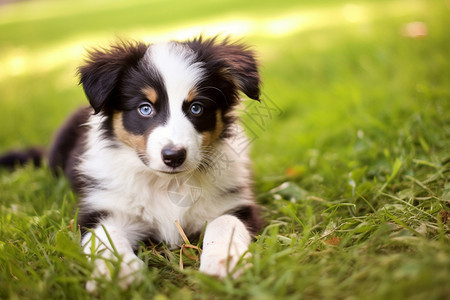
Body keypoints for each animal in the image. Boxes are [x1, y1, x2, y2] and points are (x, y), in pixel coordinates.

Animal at [45, 35, 262, 290]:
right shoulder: (103, 208)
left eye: (196, 108)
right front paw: (118, 272)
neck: (168, 184)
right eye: (145, 108)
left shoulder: (232, 203)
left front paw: (224, 263)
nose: (174, 156)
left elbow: (226, 222)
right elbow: (106, 237)